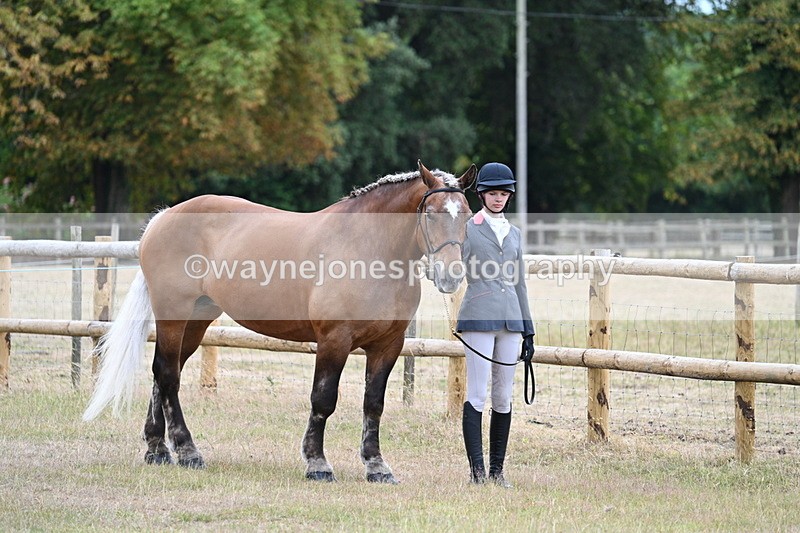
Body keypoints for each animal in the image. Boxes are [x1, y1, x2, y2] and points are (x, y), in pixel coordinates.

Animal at [84, 161, 476, 483]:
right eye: (432, 214)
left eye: (467, 214)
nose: (451, 276)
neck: (369, 248)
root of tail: (163, 217)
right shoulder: (334, 340)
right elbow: (323, 400)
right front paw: (317, 464)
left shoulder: (388, 345)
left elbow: (373, 405)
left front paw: (377, 467)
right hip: (173, 316)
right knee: (167, 375)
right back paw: (187, 451)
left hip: (196, 321)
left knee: (164, 373)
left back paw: (157, 449)